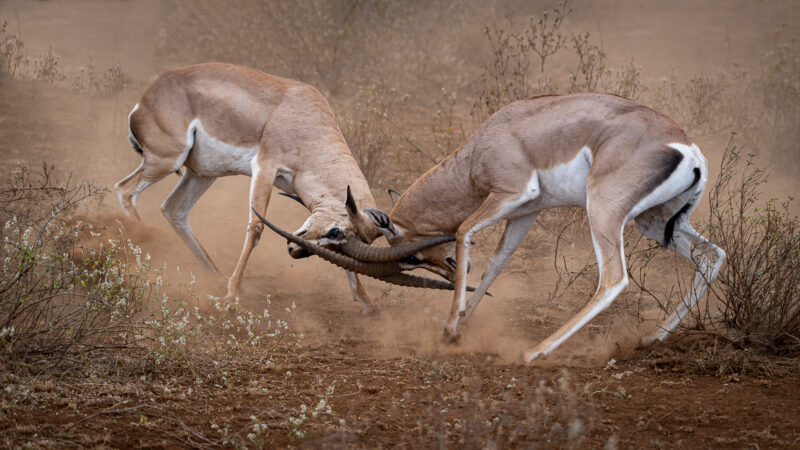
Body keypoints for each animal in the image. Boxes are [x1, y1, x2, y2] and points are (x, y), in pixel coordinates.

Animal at [114, 62, 428, 312]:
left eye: (342, 245)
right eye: (334, 231)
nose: (295, 251)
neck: (309, 127)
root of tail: (143, 101)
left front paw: (367, 302)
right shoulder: (264, 168)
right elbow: (255, 229)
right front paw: (232, 296)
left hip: (201, 174)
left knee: (173, 209)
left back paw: (215, 276)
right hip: (166, 161)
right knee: (125, 190)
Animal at [277, 93, 727, 362]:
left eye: (414, 257)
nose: (451, 267)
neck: (482, 148)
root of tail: (688, 150)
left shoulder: (511, 193)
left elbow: (464, 231)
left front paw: (450, 328)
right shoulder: (526, 210)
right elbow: (498, 261)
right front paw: (460, 326)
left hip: (604, 213)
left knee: (613, 279)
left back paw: (534, 353)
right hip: (654, 222)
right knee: (712, 254)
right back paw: (651, 339)